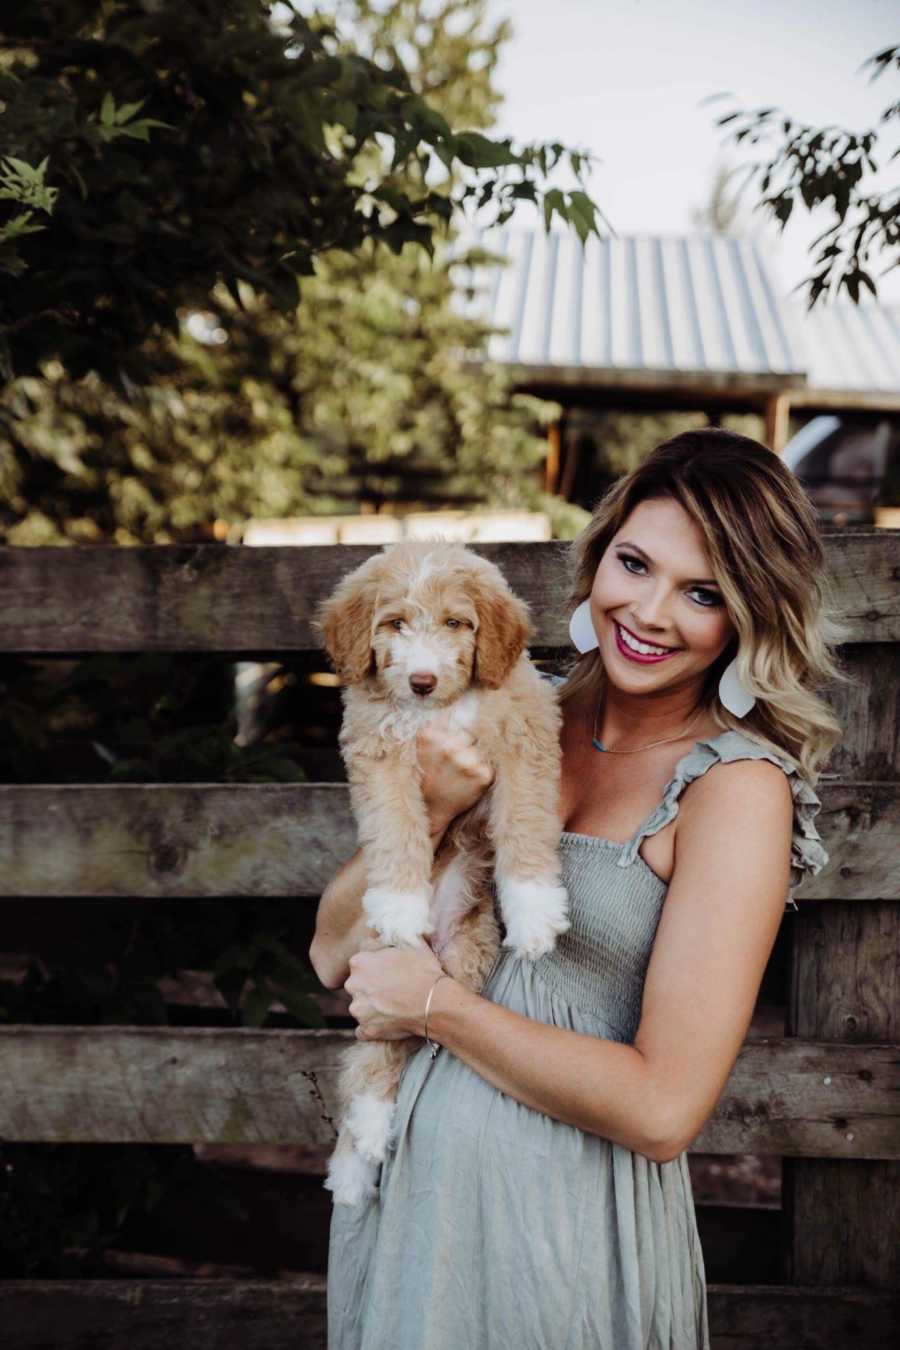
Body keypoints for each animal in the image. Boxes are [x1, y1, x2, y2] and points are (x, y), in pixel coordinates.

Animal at [317, 537, 569, 1204]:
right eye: (395, 623)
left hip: (464, 957)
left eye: (457, 623)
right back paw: (360, 1153)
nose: (422, 681)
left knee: (412, 1036)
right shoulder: (379, 750)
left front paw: (535, 912)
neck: (443, 712)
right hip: (376, 962)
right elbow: (399, 823)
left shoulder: (525, 739)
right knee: (373, 1058)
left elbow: (525, 824)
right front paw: (400, 902)